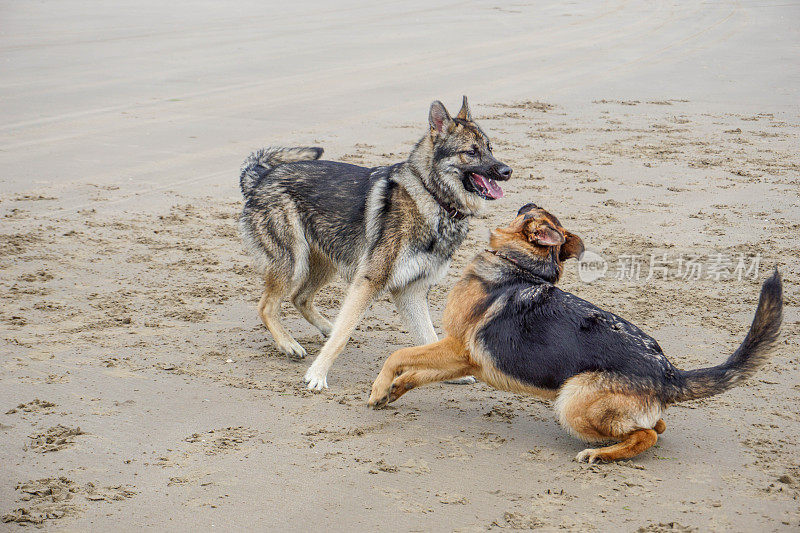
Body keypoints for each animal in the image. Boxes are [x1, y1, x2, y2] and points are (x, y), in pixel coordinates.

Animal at [238, 97, 512, 388]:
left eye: (490, 148)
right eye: (470, 152)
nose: (507, 170)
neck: (432, 195)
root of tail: (262, 178)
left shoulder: (411, 291)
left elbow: (428, 335)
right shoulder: (369, 282)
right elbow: (343, 335)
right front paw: (318, 374)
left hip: (326, 263)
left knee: (300, 298)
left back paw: (324, 327)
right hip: (295, 263)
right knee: (268, 306)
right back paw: (288, 343)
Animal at [372, 204, 784, 462]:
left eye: (532, 213)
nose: (524, 194)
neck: (520, 265)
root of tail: (668, 372)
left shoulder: (457, 347)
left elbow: (398, 355)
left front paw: (378, 387)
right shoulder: (465, 359)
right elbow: (418, 373)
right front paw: (393, 390)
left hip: (570, 402)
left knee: (647, 434)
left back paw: (600, 455)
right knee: (657, 425)